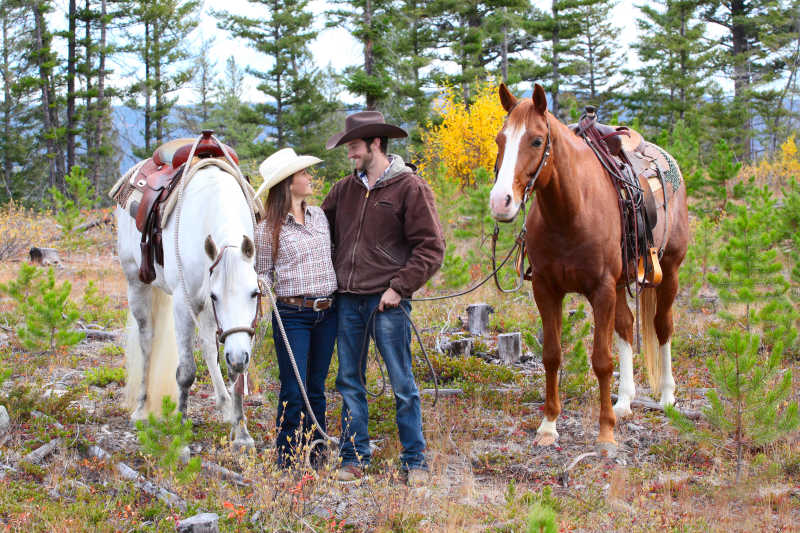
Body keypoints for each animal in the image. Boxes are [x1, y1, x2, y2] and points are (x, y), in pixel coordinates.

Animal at [117, 161, 260, 444]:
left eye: (255, 293)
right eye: (216, 296)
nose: (239, 356)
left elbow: (234, 372)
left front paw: (241, 431)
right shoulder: (185, 305)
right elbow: (185, 372)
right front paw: (181, 433)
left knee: (208, 346)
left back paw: (224, 404)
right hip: (136, 284)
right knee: (146, 342)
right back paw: (141, 409)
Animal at [490, 83, 692, 446]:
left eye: (536, 141)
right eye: (500, 139)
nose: (501, 202)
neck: (571, 211)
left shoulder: (601, 290)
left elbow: (601, 360)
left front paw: (606, 431)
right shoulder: (547, 290)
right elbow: (552, 355)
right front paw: (549, 425)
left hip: (668, 272)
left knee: (662, 326)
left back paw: (668, 396)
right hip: (621, 283)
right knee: (626, 326)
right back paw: (624, 400)